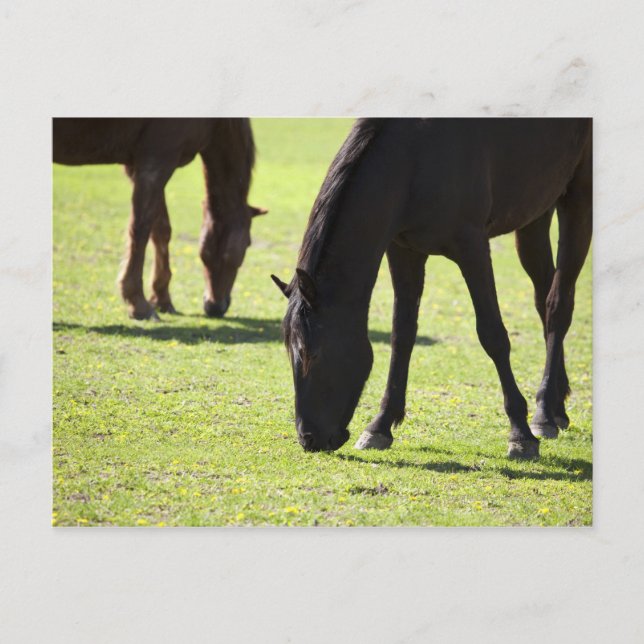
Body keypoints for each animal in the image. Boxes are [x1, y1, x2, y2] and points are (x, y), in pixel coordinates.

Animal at [53, 118, 267, 320]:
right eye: (248, 243)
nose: (214, 307)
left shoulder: (138, 167)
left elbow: (161, 229)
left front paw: (162, 298)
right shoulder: (156, 164)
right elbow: (140, 229)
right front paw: (138, 303)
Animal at [272, 118, 592, 460]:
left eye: (311, 354)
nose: (308, 438)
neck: (413, 158)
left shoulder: (472, 247)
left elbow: (493, 335)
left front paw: (520, 435)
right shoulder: (403, 250)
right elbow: (402, 335)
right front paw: (380, 426)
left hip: (578, 200)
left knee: (558, 306)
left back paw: (544, 413)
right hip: (534, 215)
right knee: (544, 297)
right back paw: (556, 408)